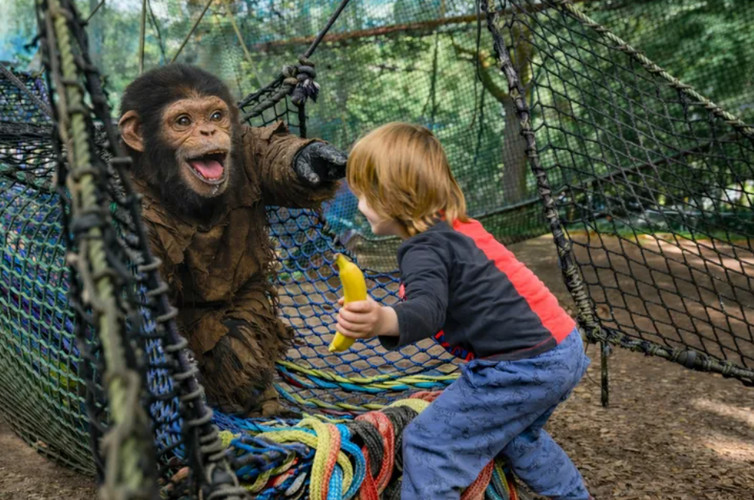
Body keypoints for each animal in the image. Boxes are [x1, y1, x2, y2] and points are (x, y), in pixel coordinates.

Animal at [118, 64, 346, 416]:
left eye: (216, 116)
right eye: (183, 121)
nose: (208, 132)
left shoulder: (244, 144)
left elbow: (271, 155)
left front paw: (313, 159)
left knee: (239, 335)